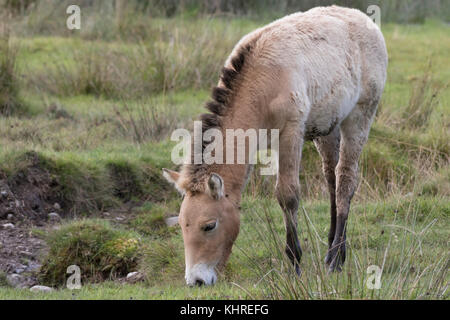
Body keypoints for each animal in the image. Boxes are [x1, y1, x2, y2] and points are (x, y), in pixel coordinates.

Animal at [162, 5, 386, 284]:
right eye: (182, 225)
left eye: (209, 225)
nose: (196, 281)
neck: (263, 79)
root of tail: (363, 18)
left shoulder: (290, 133)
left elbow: (287, 194)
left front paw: (295, 263)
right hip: (328, 127)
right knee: (331, 178)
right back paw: (334, 252)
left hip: (360, 116)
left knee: (346, 180)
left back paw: (335, 259)